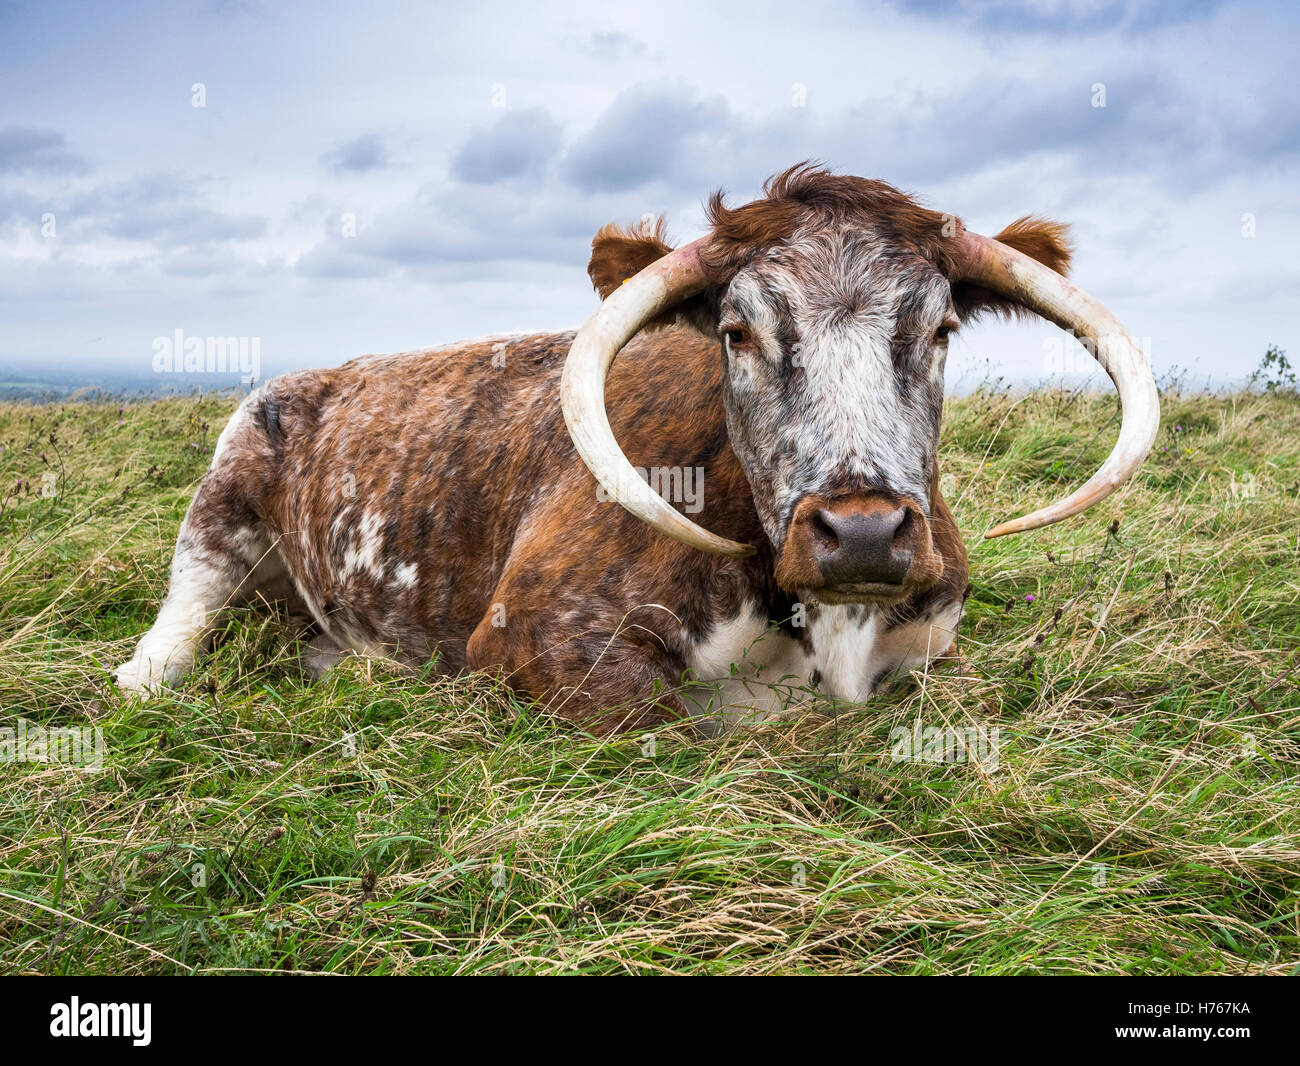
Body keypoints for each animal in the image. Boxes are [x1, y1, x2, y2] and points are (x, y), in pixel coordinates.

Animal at [116, 164, 1164, 733]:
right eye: (737, 330)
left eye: (940, 326)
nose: (864, 533)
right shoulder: (531, 631)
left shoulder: (934, 646)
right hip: (223, 493)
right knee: (180, 616)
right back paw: (144, 679)